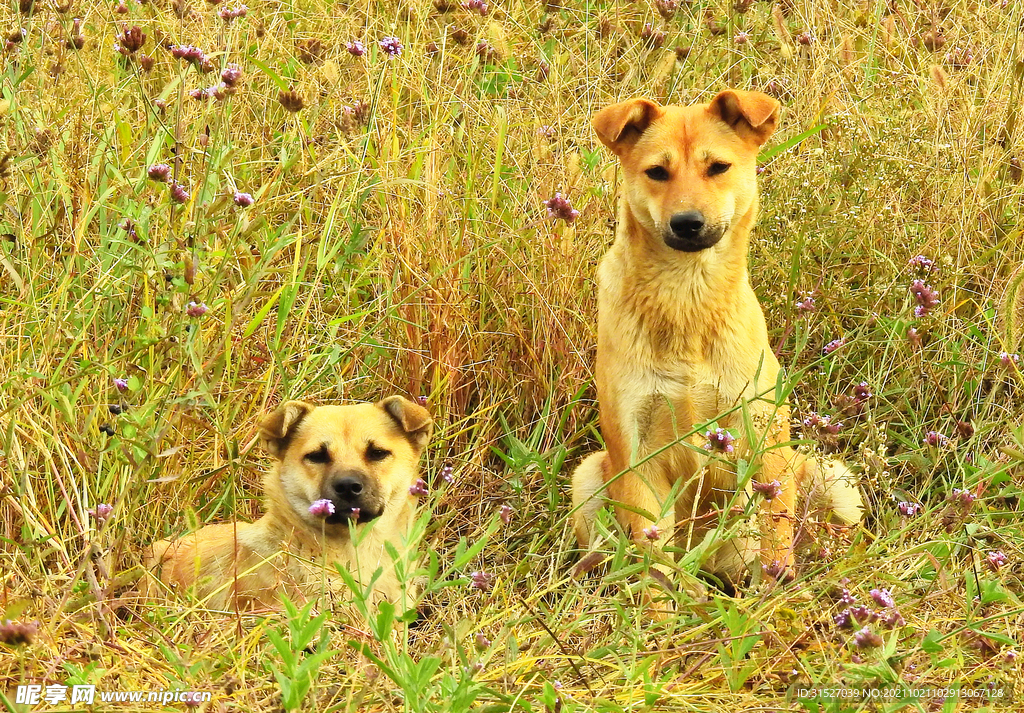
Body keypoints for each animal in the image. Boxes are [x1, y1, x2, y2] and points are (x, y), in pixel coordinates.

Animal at [573, 89, 860, 590]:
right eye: (657, 172)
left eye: (718, 167)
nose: (687, 223)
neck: (687, 299)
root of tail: (710, 568)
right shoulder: (636, 455)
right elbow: (655, 571)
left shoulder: (762, 445)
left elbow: (775, 537)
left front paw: (773, 597)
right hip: (588, 480)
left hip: (831, 478)